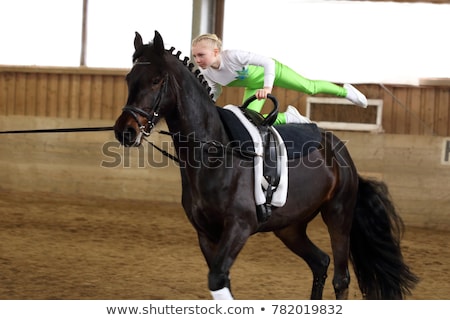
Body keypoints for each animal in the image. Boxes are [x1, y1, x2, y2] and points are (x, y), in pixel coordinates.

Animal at [112, 30, 418, 300]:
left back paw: (355, 96)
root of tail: (339, 151)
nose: (125, 131)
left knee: (341, 279)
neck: (214, 156)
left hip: (338, 214)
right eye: (129, 78)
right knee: (320, 262)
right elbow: (221, 281)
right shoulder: (206, 234)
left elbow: (217, 279)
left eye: (156, 80)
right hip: (290, 227)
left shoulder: (239, 227)